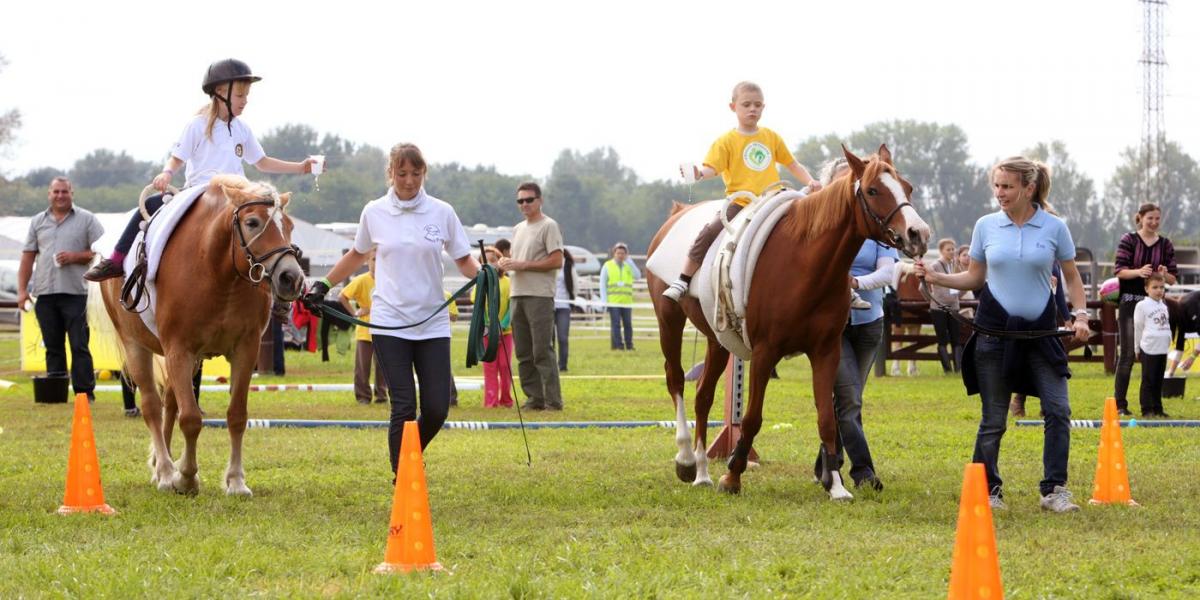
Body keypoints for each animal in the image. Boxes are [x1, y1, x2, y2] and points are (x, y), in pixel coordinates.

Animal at [99, 175, 304, 494]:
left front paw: (235, 481)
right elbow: (191, 418)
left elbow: (236, 415)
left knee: (170, 405)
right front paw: (185, 477)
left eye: (290, 225)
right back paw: (166, 472)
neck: (217, 271)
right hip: (137, 347)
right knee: (152, 407)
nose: (291, 278)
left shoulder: (245, 350)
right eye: (253, 222)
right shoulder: (179, 350)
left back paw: (161, 466)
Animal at [648, 144, 926, 496]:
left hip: (717, 339)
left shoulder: (827, 352)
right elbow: (751, 417)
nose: (918, 234)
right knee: (676, 380)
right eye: (873, 190)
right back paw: (685, 458)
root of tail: (676, 215)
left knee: (703, 395)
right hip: (669, 320)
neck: (802, 262)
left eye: (908, 188)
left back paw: (701, 471)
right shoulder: (765, 353)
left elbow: (827, 418)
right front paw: (732, 476)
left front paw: (836, 485)